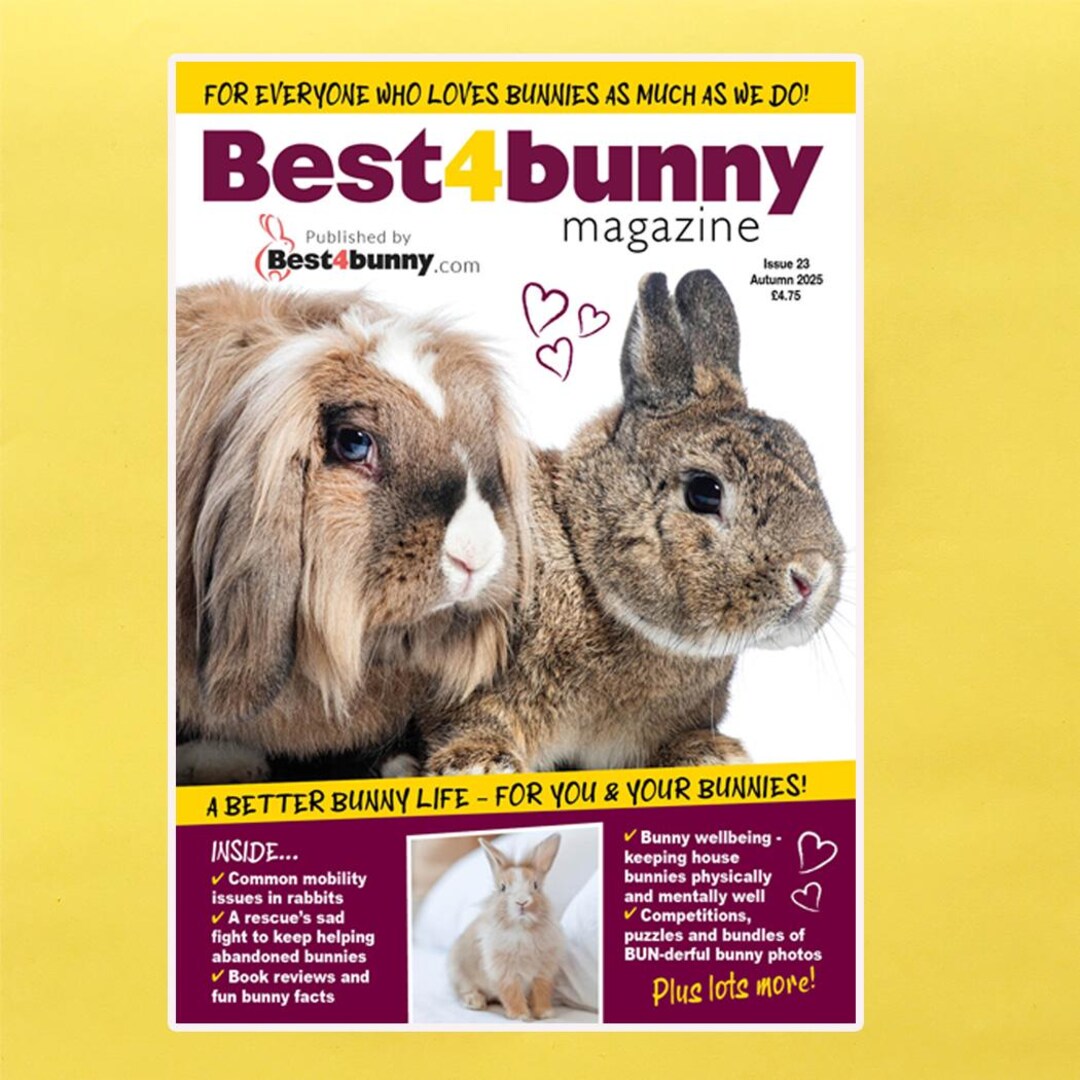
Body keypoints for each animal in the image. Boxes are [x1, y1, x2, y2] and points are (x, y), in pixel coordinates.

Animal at [448, 834, 565, 1021]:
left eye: (535, 885)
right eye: (502, 888)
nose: (522, 902)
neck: (522, 928)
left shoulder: (543, 971)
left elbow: (541, 991)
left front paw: (544, 1013)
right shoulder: (504, 972)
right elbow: (512, 993)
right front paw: (521, 1015)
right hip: (459, 971)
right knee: (464, 990)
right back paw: (475, 1001)